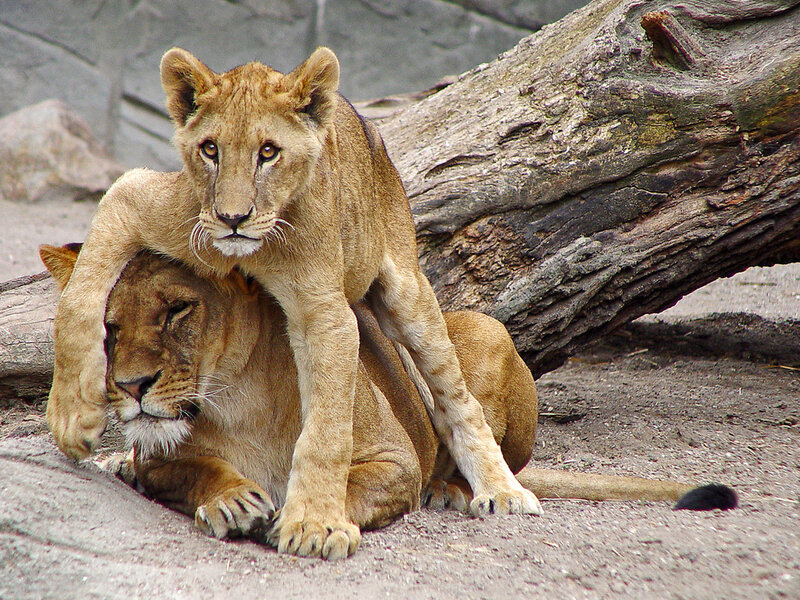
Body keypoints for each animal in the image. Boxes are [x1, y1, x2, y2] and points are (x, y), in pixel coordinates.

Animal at [41, 244, 737, 559]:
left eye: (178, 310)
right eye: (108, 328)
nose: (130, 388)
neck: (235, 393)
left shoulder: (394, 459)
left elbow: (350, 483)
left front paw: (311, 520)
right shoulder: (163, 458)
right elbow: (191, 467)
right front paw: (234, 500)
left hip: (483, 330)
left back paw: (459, 491)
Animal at [47, 46, 544, 557]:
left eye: (268, 152)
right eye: (210, 149)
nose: (232, 218)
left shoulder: (324, 312)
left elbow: (326, 429)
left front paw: (314, 521)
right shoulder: (140, 198)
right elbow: (78, 297)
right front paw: (73, 415)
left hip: (418, 298)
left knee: (457, 398)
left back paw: (495, 490)